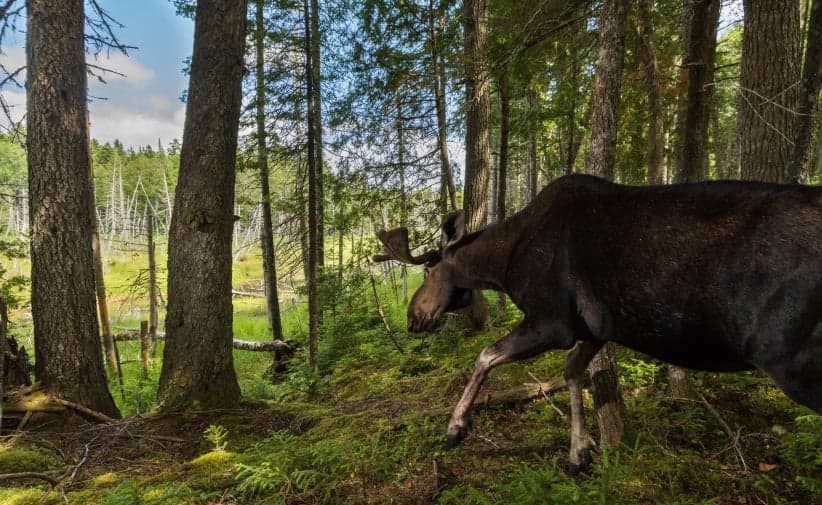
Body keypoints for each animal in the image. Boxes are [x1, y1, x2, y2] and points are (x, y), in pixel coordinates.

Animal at [373, 174, 822, 473]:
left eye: (429, 269)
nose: (413, 319)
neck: (502, 265)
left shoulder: (551, 321)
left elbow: (486, 355)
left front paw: (456, 427)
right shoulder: (595, 328)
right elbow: (573, 372)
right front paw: (580, 451)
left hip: (799, 363)